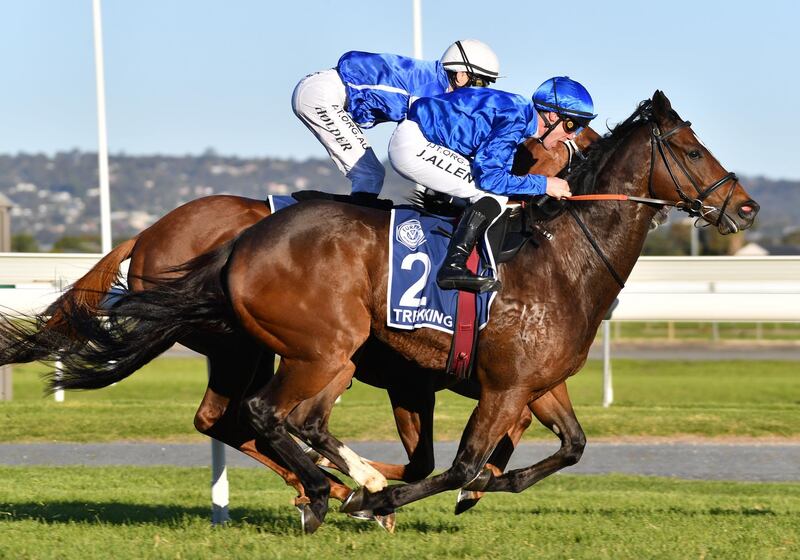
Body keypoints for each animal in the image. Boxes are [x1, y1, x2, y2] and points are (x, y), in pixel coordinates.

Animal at [40, 92, 760, 528]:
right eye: (691, 150)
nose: (746, 206)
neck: (558, 259)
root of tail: (239, 243)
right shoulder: (499, 387)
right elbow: (458, 463)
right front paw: (385, 496)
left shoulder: (534, 383)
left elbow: (568, 448)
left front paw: (458, 489)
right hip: (316, 351)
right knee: (267, 415)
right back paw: (332, 490)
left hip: (286, 354)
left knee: (243, 418)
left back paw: (332, 485)